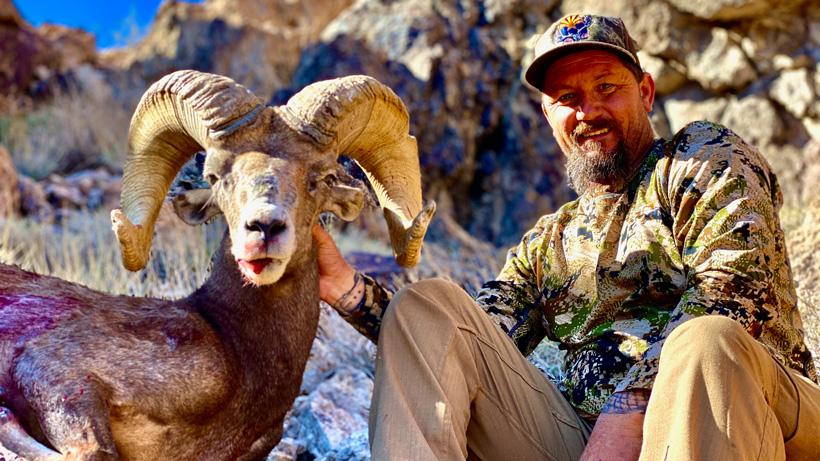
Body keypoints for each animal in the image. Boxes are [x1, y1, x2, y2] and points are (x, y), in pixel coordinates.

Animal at [0, 70, 436, 461]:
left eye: (325, 177)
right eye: (214, 176)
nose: (264, 228)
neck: (234, 345)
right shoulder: (55, 373)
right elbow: (94, 452)